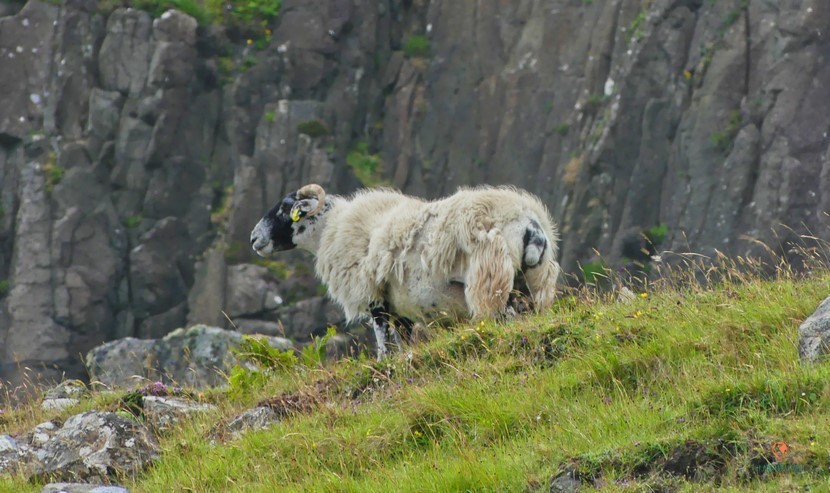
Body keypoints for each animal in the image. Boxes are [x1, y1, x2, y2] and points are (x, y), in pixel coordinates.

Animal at [250, 184, 561, 359]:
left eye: (285, 208)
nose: (253, 238)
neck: (332, 229)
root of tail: (529, 222)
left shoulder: (374, 296)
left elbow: (382, 340)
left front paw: (383, 364)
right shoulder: (400, 307)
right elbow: (402, 342)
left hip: (490, 280)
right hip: (534, 283)